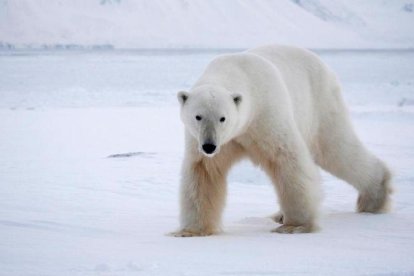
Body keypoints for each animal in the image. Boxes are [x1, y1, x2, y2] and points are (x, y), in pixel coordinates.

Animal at [171, 45, 392, 237]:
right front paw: (191, 231)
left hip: (320, 104)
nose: (209, 145)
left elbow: (287, 159)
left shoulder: (266, 114)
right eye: (198, 116)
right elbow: (204, 173)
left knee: (336, 149)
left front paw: (296, 226)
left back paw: (374, 198)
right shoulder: (210, 141)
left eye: (222, 118)